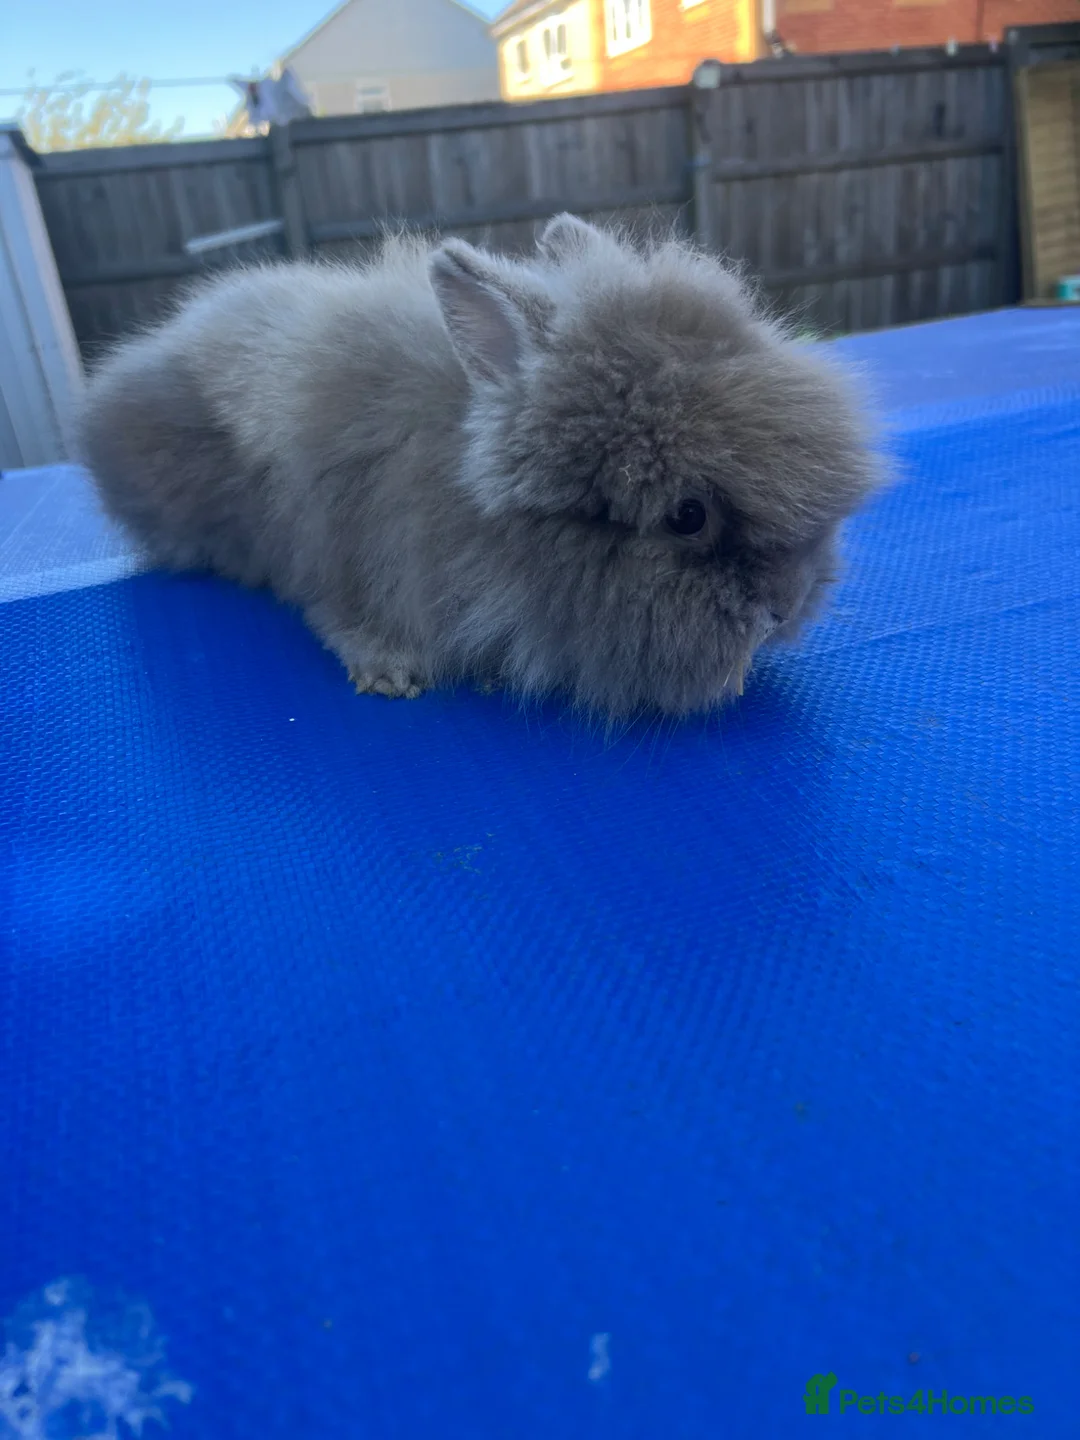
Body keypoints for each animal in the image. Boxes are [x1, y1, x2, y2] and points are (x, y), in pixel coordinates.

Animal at [75, 214, 881, 719]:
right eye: (688, 517)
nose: (785, 607)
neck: (457, 490)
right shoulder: (343, 553)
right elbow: (343, 618)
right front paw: (389, 674)